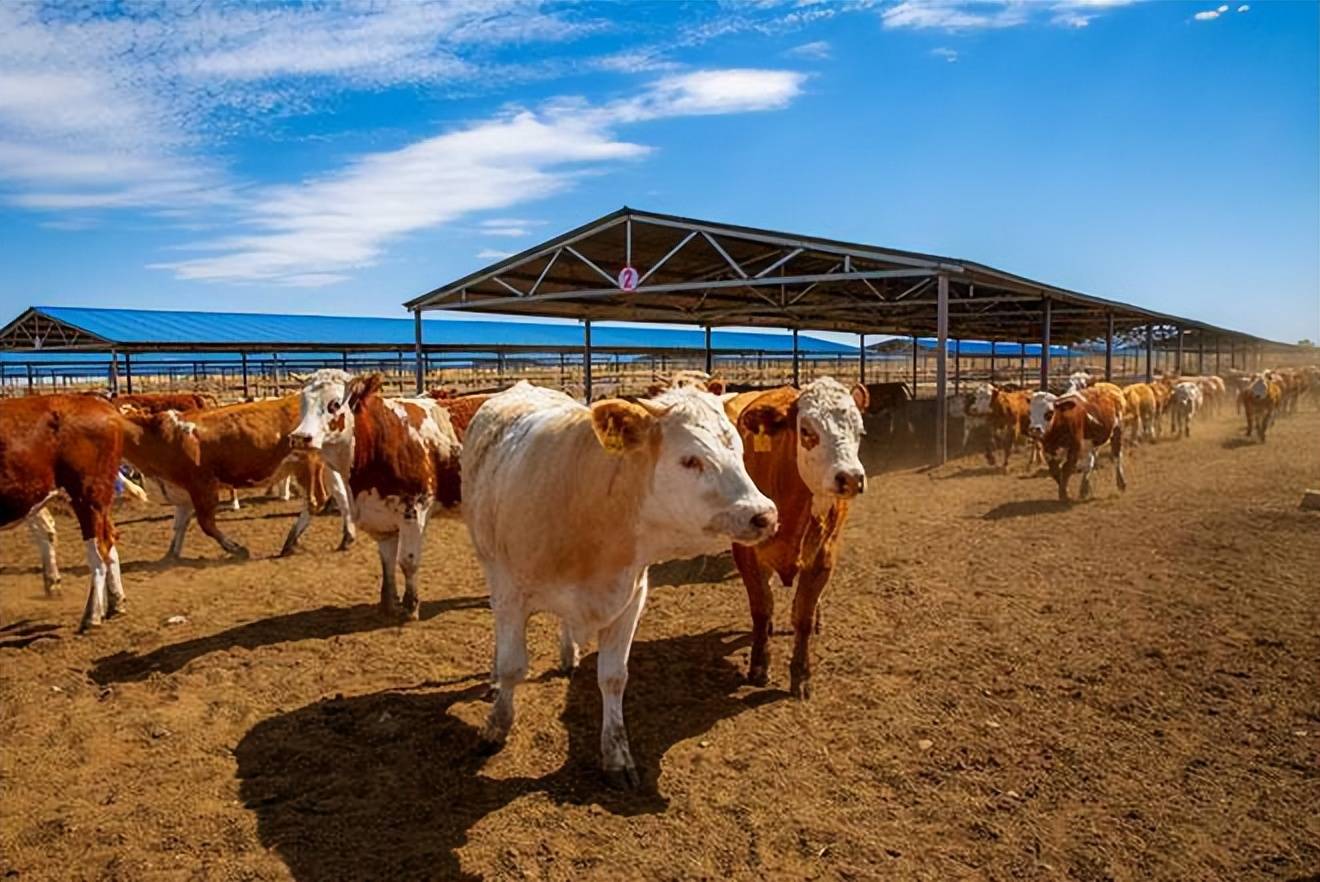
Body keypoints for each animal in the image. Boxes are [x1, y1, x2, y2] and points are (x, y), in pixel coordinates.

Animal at [0, 396, 126, 631]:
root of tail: (98, 401)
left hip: (87, 497)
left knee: (98, 554)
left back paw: (92, 615)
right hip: (99, 502)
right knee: (110, 542)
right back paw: (116, 602)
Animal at [119, 398, 353, 557]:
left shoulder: (202, 485)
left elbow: (206, 524)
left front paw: (235, 548)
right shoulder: (182, 492)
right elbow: (179, 525)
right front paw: (170, 556)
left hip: (308, 463)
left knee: (315, 500)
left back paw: (290, 541)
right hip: (324, 465)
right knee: (340, 494)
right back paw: (347, 537)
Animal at [290, 372, 464, 620]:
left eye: (334, 404)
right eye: (301, 402)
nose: (299, 437)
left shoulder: (415, 510)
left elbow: (408, 561)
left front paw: (411, 606)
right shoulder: (381, 518)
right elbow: (387, 562)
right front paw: (388, 604)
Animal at [464, 380, 776, 786]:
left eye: (739, 451)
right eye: (690, 460)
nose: (764, 515)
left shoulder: (630, 598)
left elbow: (613, 677)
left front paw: (616, 754)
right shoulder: (511, 594)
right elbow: (512, 666)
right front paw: (496, 726)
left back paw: (569, 654)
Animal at [728, 374, 871, 697]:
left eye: (860, 431)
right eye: (806, 430)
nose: (851, 478)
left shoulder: (824, 554)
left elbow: (802, 615)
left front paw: (801, 674)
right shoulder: (745, 552)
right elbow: (761, 607)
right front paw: (759, 665)